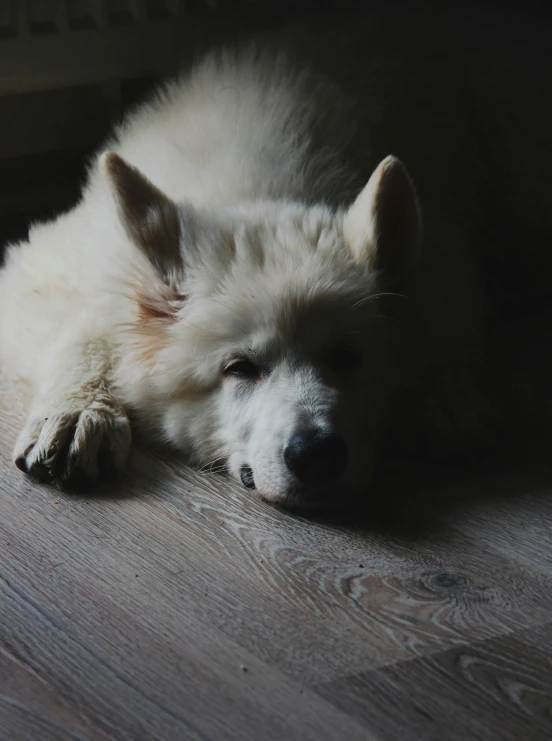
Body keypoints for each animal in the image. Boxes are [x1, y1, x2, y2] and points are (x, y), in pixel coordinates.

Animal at [1, 10, 552, 508]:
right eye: (240, 368)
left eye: (347, 357)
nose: (317, 456)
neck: (259, 187)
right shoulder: (47, 266)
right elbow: (87, 330)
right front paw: (78, 408)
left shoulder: (443, 259)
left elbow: (446, 326)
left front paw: (444, 394)